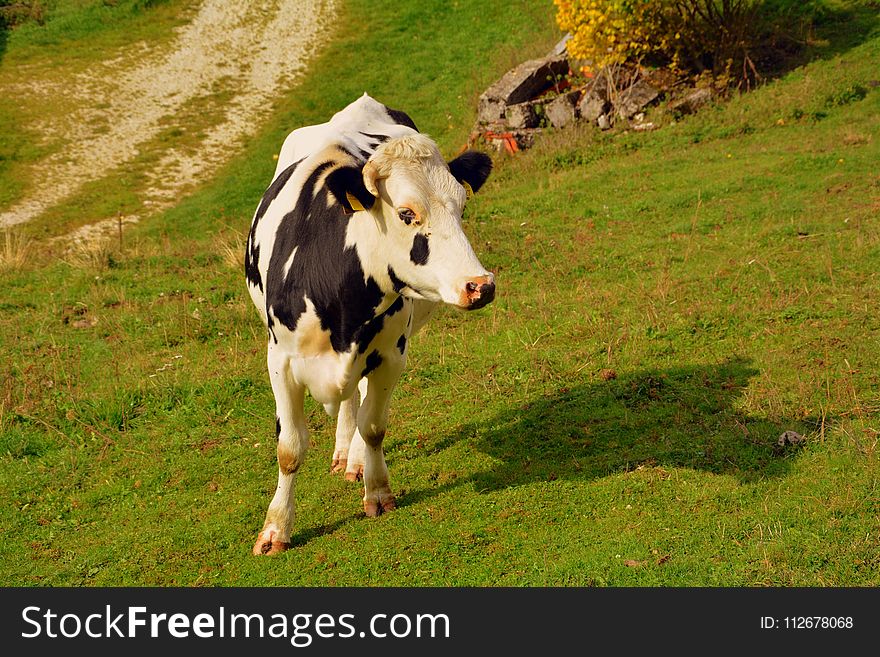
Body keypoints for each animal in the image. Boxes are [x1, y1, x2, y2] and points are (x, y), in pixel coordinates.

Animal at [244, 92, 498, 552]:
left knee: (357, 401)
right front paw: (275, 530)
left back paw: (355, 458)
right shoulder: (280, 361)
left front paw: (377, 491)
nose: (480, 285)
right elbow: (289, 448)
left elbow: (374, 425)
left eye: (462, 206)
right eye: (406, 213)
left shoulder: (390, 355)